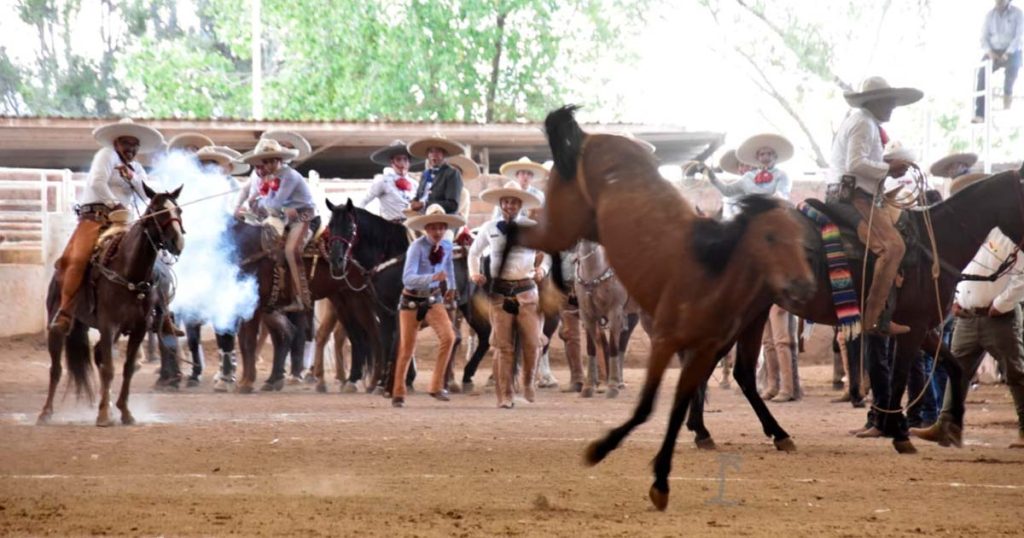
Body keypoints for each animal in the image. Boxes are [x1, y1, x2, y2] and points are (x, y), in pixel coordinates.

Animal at [38, 182, 186, 426]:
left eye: (179, 210)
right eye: (157, 210)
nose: (177, 243)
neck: (129, 271)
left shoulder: (138, 329)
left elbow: (127, 368)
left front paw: (124, 412)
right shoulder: (108, 325)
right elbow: (109, 368)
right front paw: (104, 416)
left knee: (97, 354)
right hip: (56, 323)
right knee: (56, 368)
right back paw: (45, 412)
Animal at [505, 106, 815, 512]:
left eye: (802, 239)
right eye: (770, 237)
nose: (804, 286)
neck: (709, 277)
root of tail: (589, 137)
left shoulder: (702, 351)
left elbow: (677, 410)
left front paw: (662, 479)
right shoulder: (665, 342)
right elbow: (647, 407)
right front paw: (600, 449)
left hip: (580, 228)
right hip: (562, 223)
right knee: (514, 231)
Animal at [684, 169, 1024, 452]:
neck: (936, 244)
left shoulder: (921, 329)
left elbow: (955, 369)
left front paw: (949, 428)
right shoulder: (913, 329)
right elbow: (899, 378)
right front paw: (900, 434)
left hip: (752, 315)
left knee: (733, 370)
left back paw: (724, 431)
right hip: (745, 314)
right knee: (724, 366)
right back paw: (735, 431)